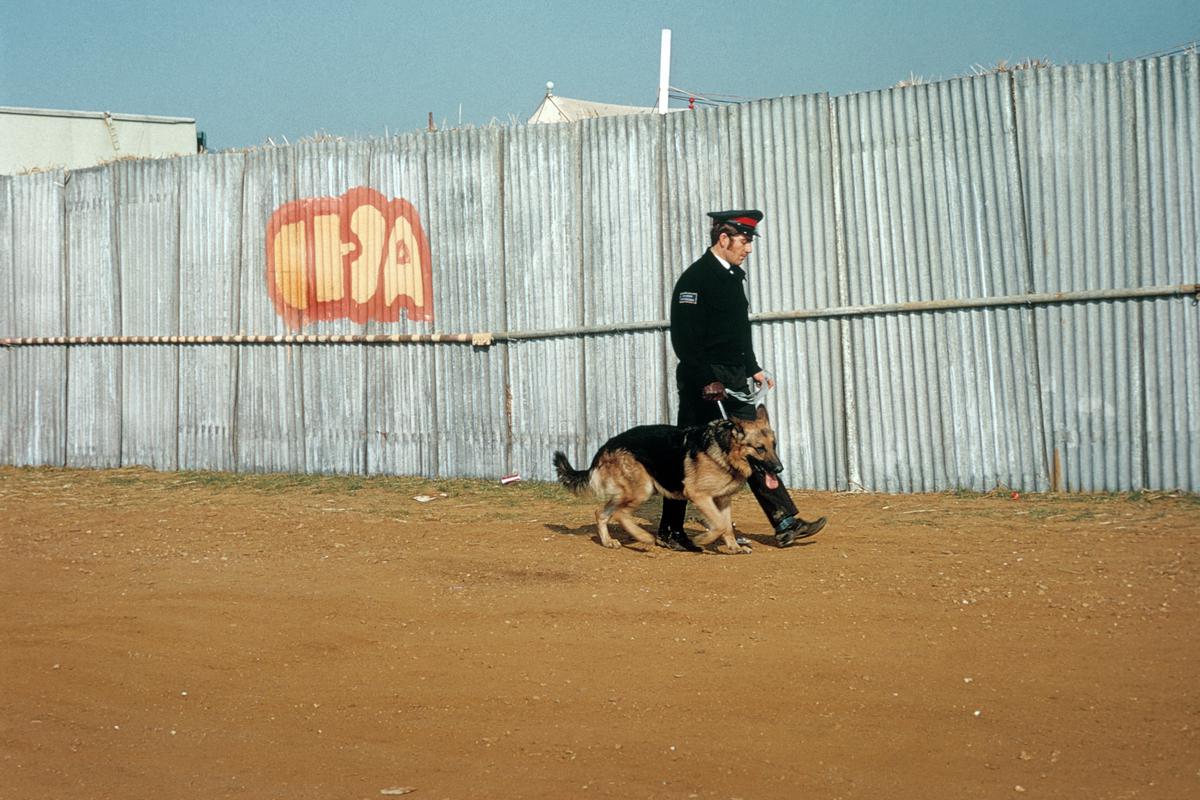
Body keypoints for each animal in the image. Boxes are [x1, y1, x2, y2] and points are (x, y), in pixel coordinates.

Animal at [549, 402, 777, 554]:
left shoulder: (723, 500)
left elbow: (727, 526)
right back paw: (644, 537)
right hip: (642, 490)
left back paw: (608, 541)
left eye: (773, 445)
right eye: (759, 448)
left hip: (631, 492)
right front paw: (703, 539)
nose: (780, 468)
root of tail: (606, 445)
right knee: (621, 514)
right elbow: (720, 525)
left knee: (602, 512)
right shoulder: (699, 496)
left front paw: (734, 547)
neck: (725, 449)